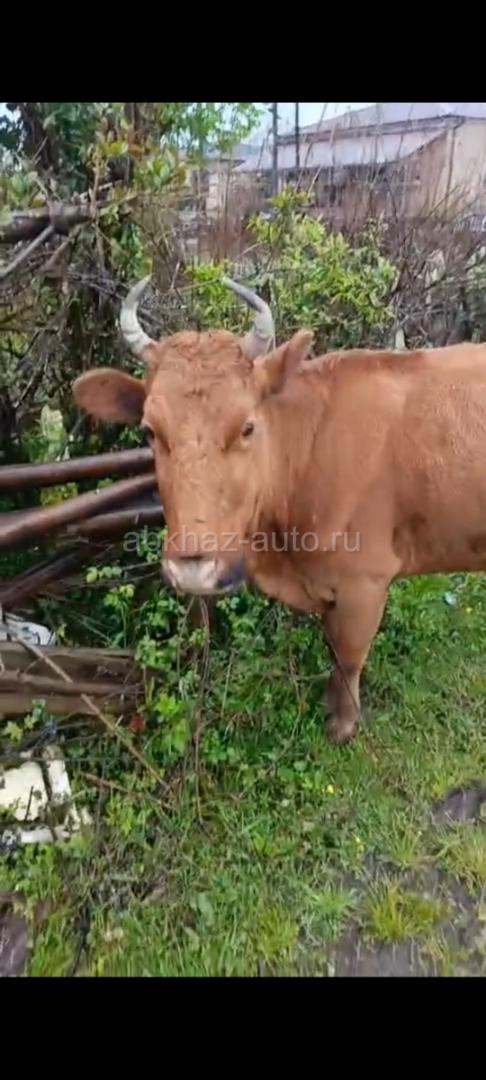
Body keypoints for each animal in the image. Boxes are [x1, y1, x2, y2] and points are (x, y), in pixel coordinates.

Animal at [73, 277, 486, 744]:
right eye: (149, 430)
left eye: (247, 426)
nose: (193, 569)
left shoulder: (366, 583)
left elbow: (347, 655)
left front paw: (342, 725)